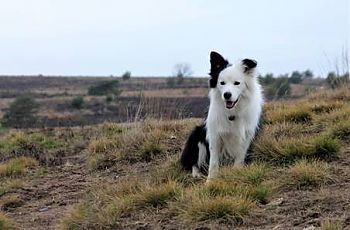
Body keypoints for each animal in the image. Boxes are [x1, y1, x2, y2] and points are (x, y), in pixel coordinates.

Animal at [180, 50, 262, 181]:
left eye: (237, 83)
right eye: (222, 83)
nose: (227, 95)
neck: (232, 113)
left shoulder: (247, 136)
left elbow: (240, 157)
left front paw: (236, 173)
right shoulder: (214, 135)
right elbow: (213, 162)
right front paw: (210, 181)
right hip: (197, 135)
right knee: (194, 162)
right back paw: (196, 173)